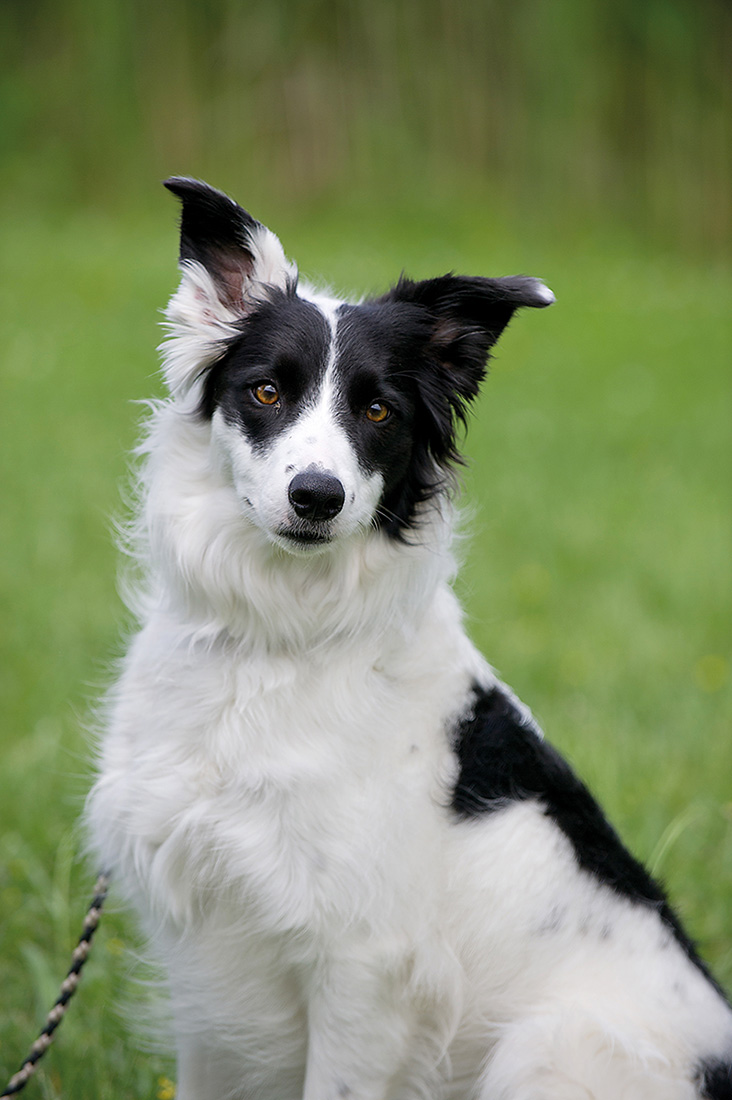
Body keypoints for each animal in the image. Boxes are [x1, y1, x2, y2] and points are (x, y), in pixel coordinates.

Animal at [86, 180, 730, 1100]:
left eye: (378, 409)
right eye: (267, 392)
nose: (317, 497)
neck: (276, 643)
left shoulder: (365, 968)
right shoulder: (210, 961)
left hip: (547, 1048)